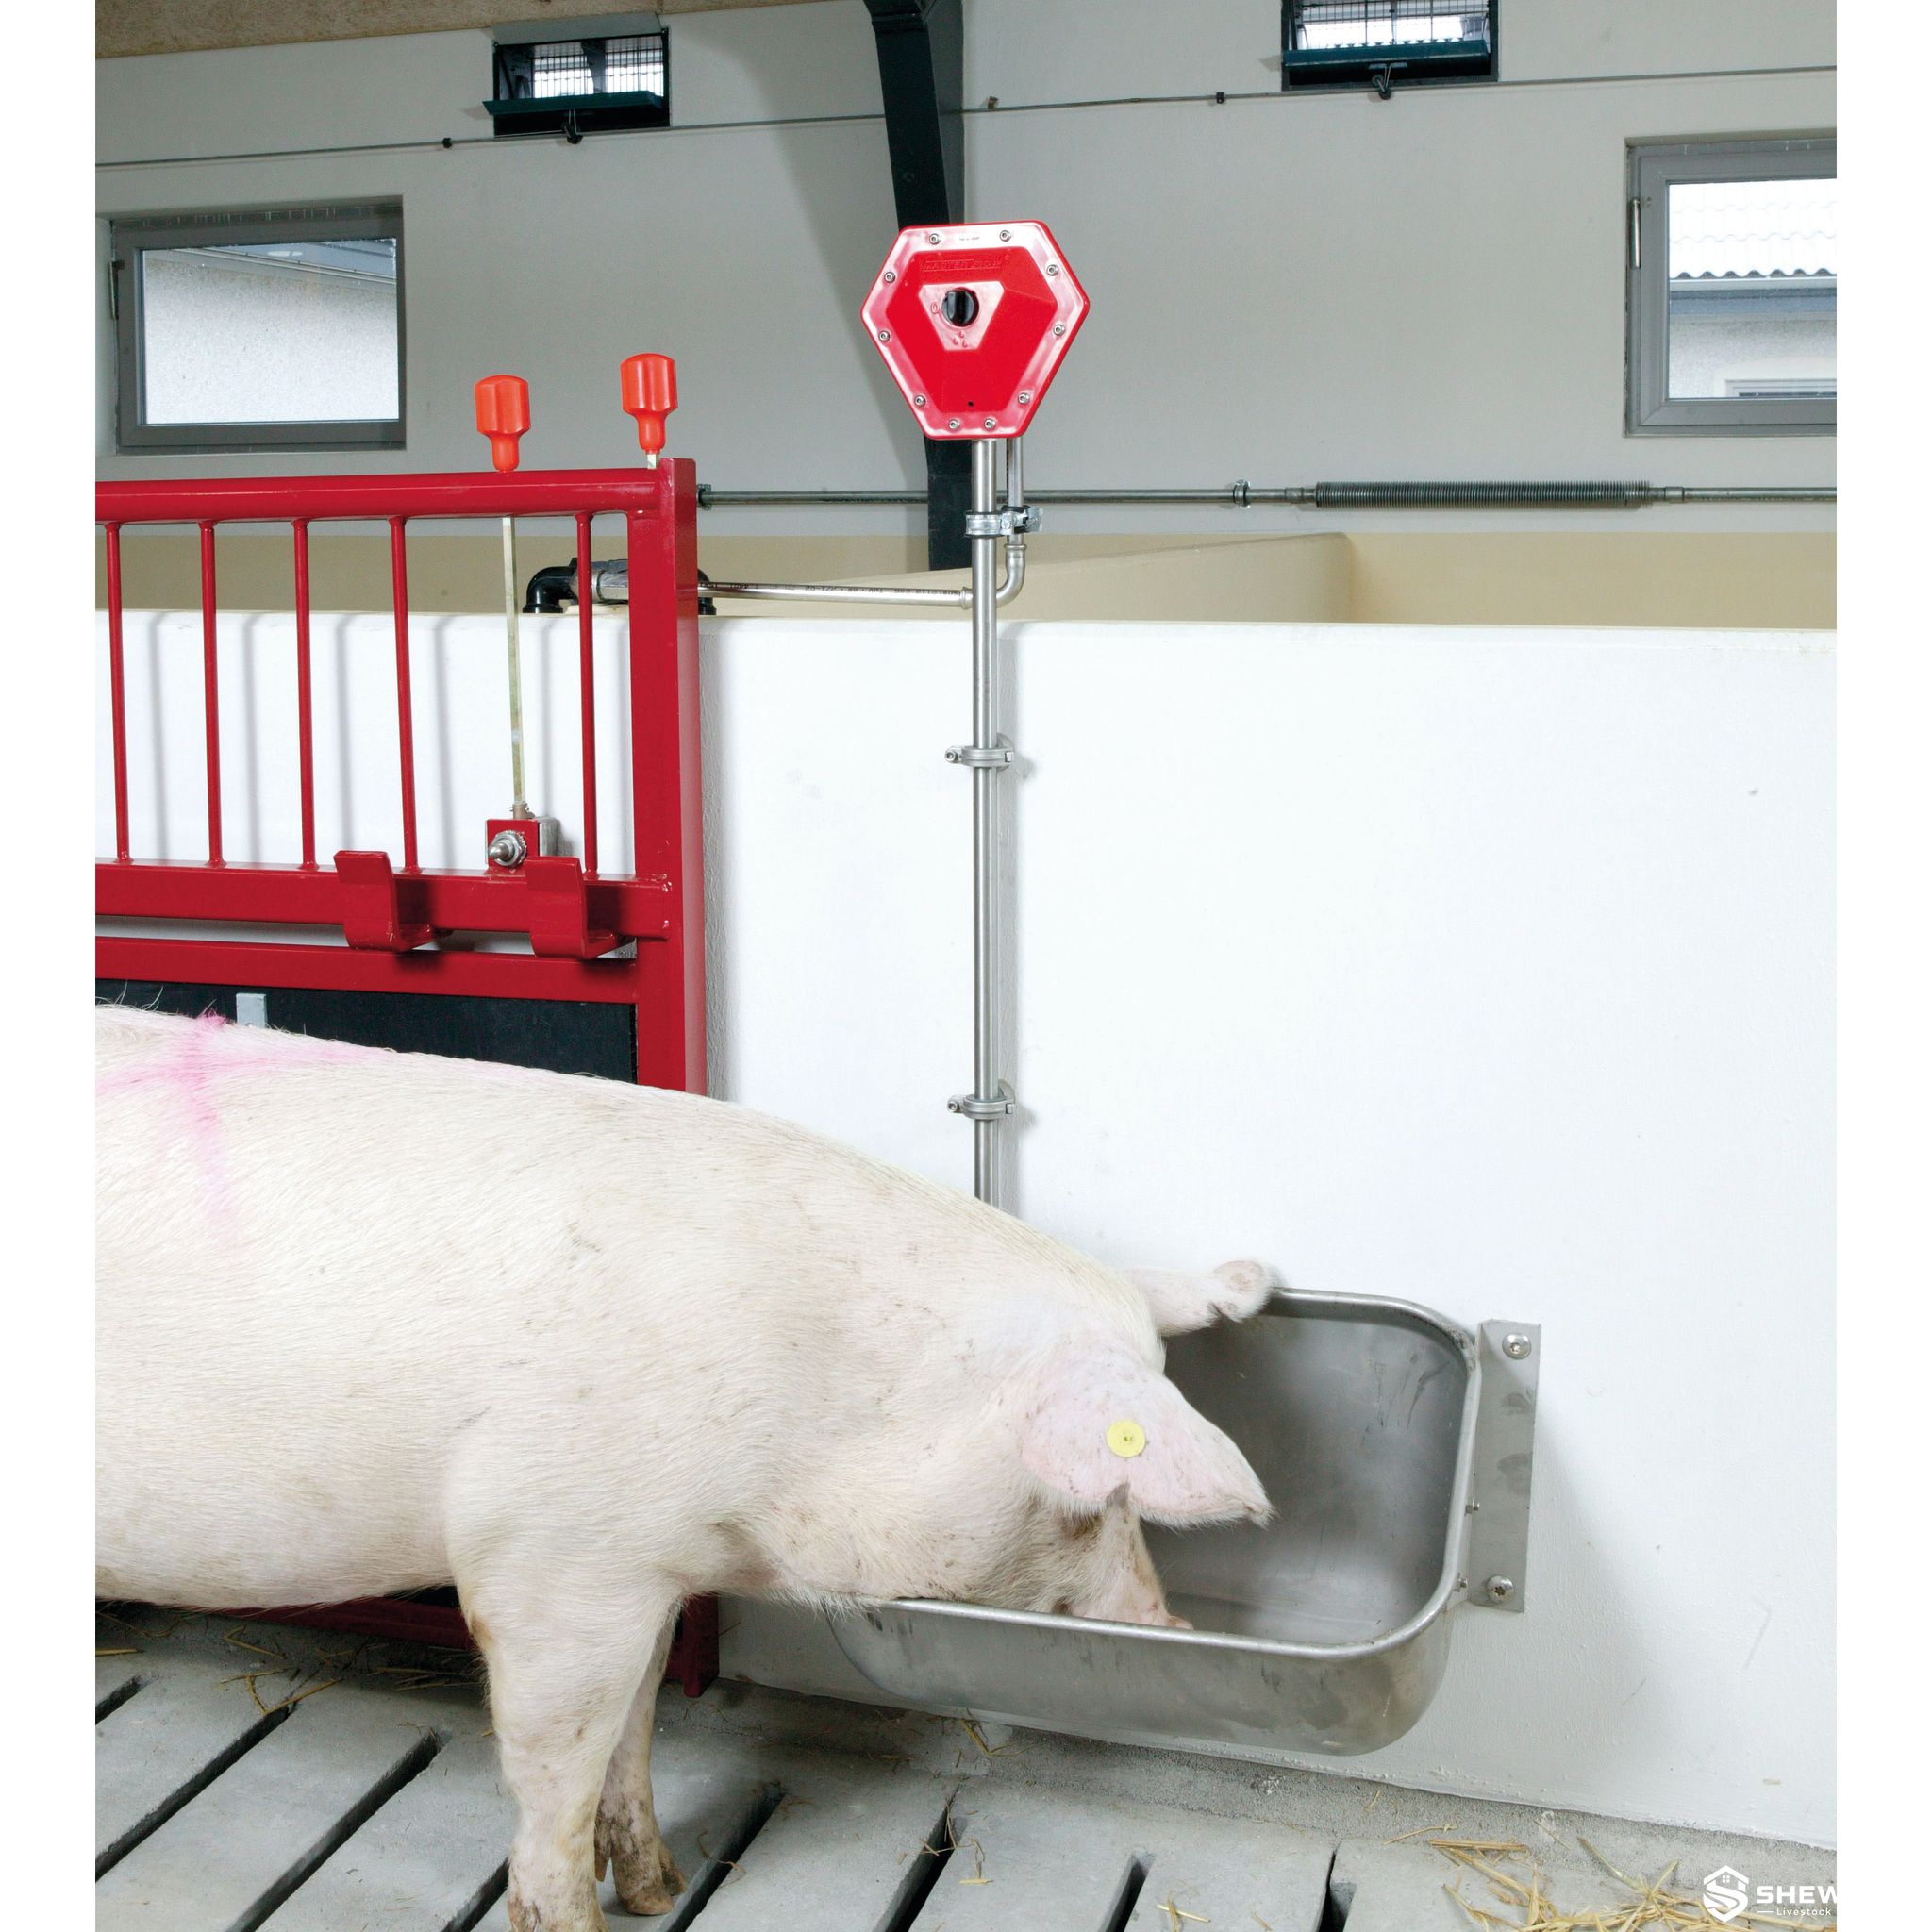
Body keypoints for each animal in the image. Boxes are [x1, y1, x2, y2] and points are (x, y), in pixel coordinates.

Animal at [96, 1006, 1274, 1932]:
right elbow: (554, 1775)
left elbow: (639, 1722)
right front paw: (582, 1913)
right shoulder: (544, 1565)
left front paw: (658, 1889)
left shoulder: (647, 1571)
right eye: (1099, 1498)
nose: (1168, 1621)